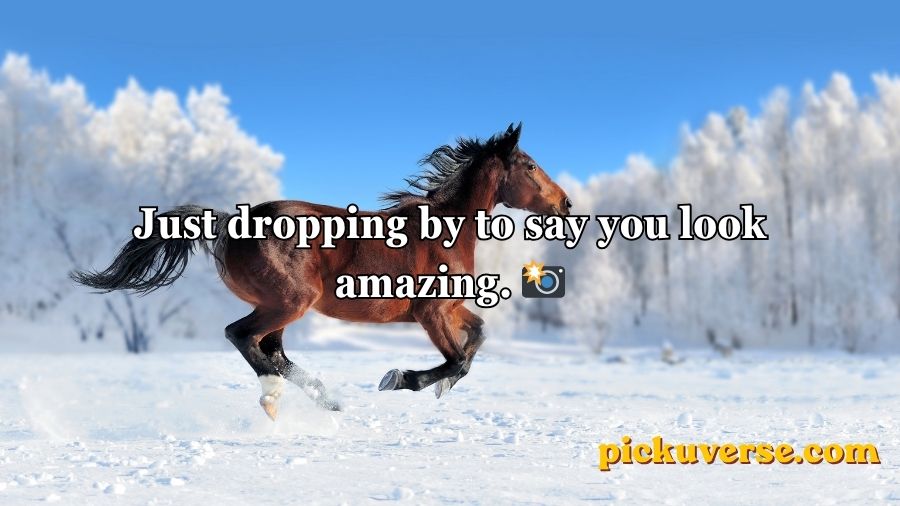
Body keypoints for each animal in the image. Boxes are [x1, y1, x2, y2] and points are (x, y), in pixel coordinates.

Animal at [72, 123, 572, 420]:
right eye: (530, 165)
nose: (566, 203)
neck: (446, 228)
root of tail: (229, 222)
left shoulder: (449, 309)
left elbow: (477, 339)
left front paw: (437, 387)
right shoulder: (430, 313)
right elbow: (457, 360)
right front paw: (401, 379)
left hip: (278, 306)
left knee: (270, 349)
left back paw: (325, 399)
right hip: (289, 302)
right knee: (243, 337)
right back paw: (277, 397)